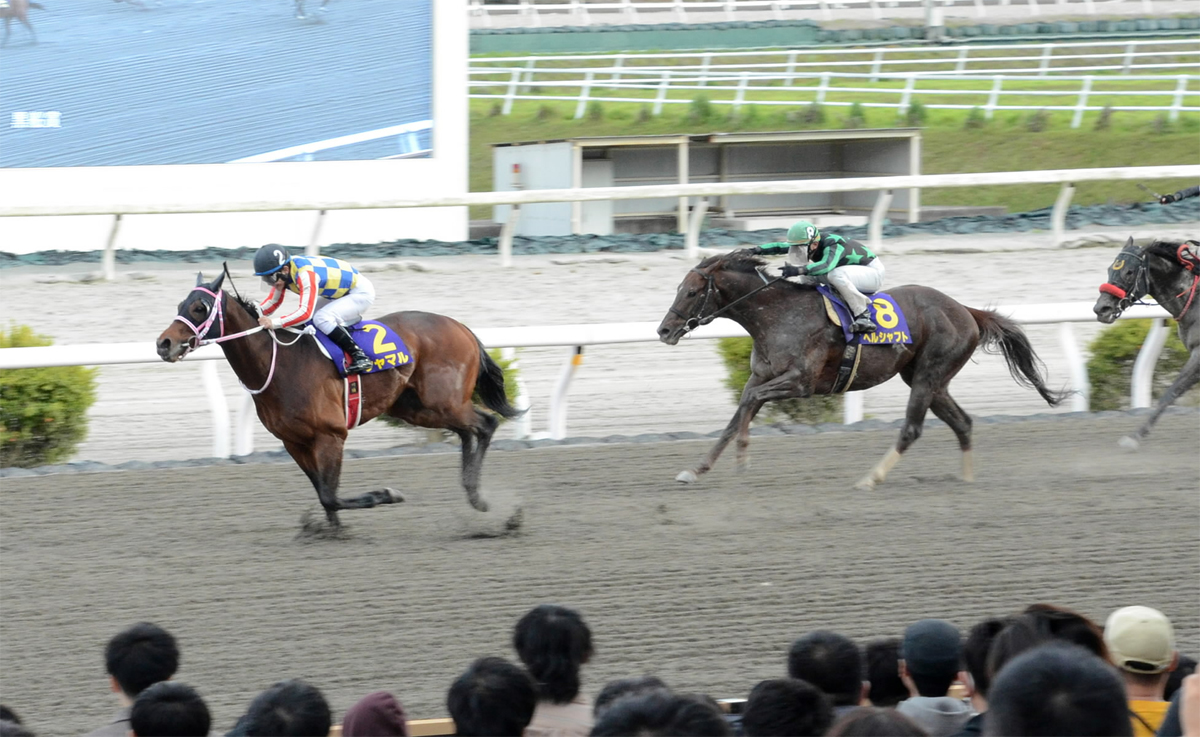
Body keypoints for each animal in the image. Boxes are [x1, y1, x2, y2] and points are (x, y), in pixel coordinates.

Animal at [156, 270, 523, 528]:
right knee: (468, 430)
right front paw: (331, 531)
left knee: (485, 423)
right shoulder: (295, 442)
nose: (163, 344)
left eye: (199, 307)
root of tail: (462, 327)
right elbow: (323, 495)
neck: (280, 364)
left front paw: (384, 495)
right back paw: (474, 494)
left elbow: (331, 495)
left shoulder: (331, 435)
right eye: (179, 306)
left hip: (442, 400)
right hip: (418, 408)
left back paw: (483, 500)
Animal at [657, 250, 1068, 490]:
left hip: (928, 376)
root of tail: (966, 310)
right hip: (931, 380)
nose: (663, 330)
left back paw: (871, 477)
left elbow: (747, 408)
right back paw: (966, 480)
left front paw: (743, 458)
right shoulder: (763, 377)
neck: (778, 315)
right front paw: (696, 469)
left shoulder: (800, 383)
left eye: (692, 292)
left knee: (912, 429)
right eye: (678, 287)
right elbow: (737, 414)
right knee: (963, 423)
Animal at [1093, 236, 1200, 449]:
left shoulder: (1198, 355)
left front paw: (1134, 438)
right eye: (1110, 269)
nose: (1101, 309)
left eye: (1129, 271)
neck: (1195, 301)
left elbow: (1170, 393)